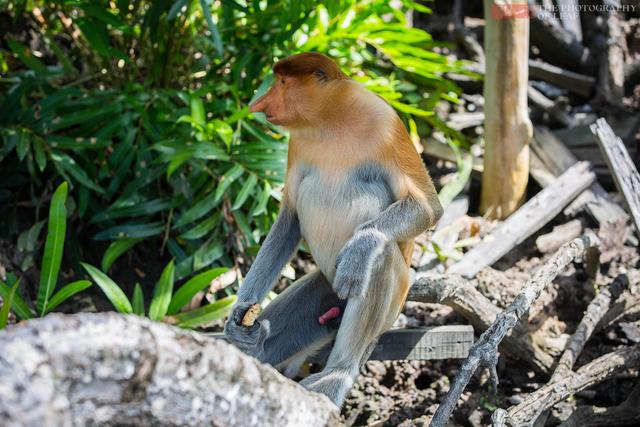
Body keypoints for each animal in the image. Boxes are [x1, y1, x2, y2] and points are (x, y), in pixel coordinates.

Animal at [222, 51, 442, 406]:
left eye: (282, 82)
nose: (258, 103)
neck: (329, 121)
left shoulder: (386, 124)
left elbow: (428, 207)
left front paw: (359, 250)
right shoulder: (298, 143)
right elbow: (289, 219)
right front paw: (240, 314)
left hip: (392, 298)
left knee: (380, 259)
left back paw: (335, 376)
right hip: (324, 287)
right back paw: (254, 344)